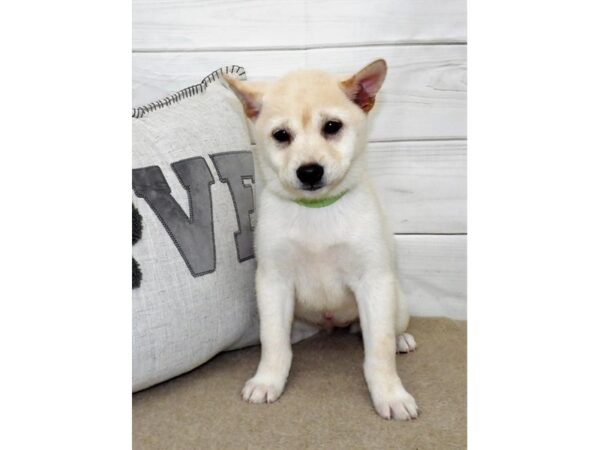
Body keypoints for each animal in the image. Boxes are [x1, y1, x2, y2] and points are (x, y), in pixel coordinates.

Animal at [225, 58, 418, 420]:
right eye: (281, 135)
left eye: (332, 126)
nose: (310, 171)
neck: (316, 211)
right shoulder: (274, 282)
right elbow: (273, 343)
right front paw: (268, 379)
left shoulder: (373, 283)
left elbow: (379, 351)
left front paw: (390, 393)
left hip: (395, 304)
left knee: (390, 332)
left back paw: (402, 340)